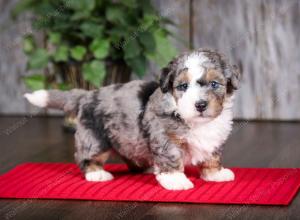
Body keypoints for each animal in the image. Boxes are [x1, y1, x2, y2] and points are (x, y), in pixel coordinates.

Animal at [23, 48, 240, 191]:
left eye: (214, 84)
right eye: (183, 86)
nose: (200, 105)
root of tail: (87, 94)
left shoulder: (214, 139)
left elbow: (212, 156)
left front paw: (215, 173)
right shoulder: (165, 138)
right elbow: (171, 157)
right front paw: (175, 180)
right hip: (95, 138)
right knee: (86, 156)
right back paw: (96, 172)